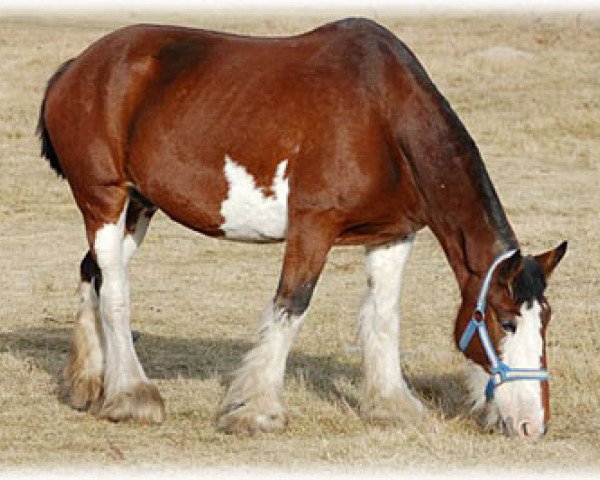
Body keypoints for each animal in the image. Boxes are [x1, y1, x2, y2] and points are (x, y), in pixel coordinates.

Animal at [38, 18, 568, 438]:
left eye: (546, 320)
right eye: (506, 321)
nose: (533, 425)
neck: (382, 116)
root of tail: (77, 66)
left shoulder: (393, 234)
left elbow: (383, 316)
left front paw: (391, 406)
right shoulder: (313, 227)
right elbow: (291, 306)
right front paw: (256, 411)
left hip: (138, 206)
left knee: (93, 273)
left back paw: (90, 384)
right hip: (104, 200)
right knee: (116, 292)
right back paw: (132, 396)